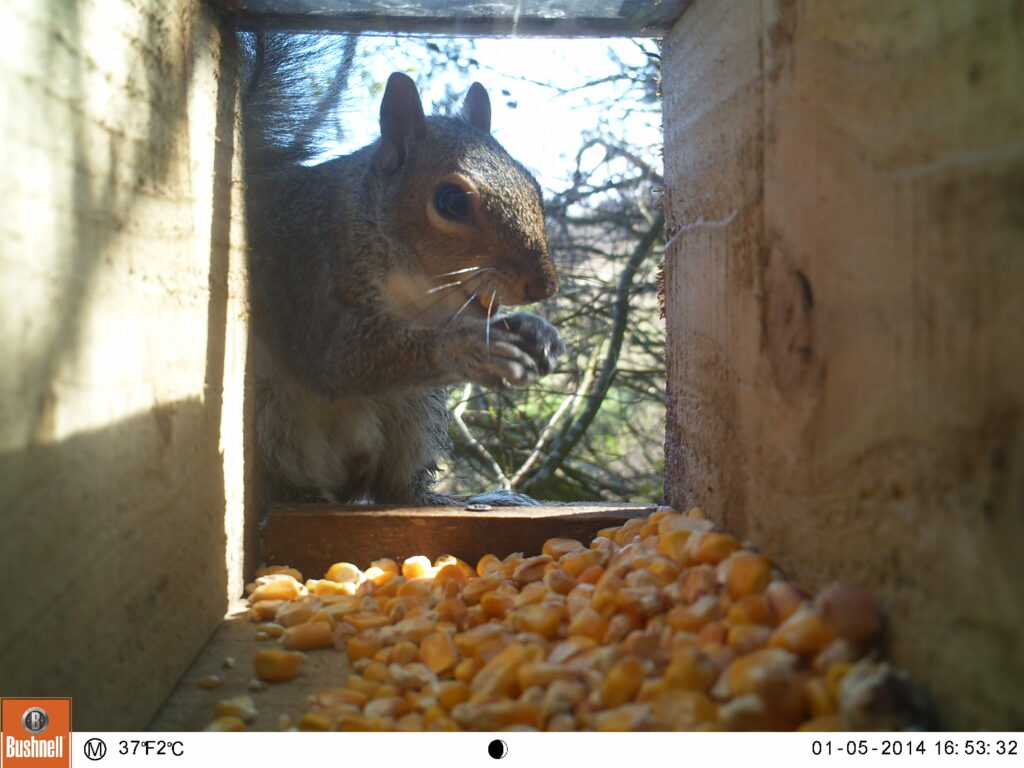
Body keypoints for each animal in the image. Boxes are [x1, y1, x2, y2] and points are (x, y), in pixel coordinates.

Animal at [243, 34, 569, 505]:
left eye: (534, 186)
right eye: (450, 201)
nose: (543, 287)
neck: (414, 287)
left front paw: (536, 331)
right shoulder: (305, 270)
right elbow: (333, 361)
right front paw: (466, 348)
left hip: (416, 411)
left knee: (397, 487)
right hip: (273, 421)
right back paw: (302, 498)